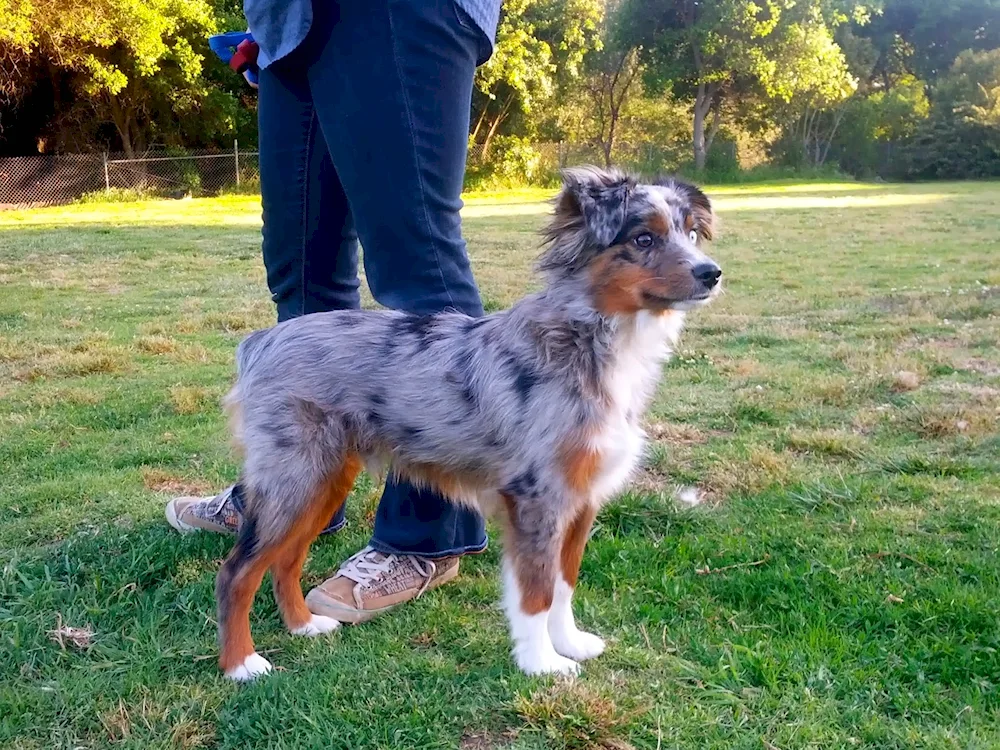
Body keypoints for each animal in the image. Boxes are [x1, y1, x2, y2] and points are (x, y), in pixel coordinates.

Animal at [215, 164, 724, 680]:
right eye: (643, 239)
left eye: (690, 233)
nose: (712, 273)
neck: (591, 337)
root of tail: (264, 340)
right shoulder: (536, 500)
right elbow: (537, 593)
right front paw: (540, 663)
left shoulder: (580, 500)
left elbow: (564, 585)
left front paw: (570, 643)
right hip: (295, 479)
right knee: (237, 571)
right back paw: (241, 664)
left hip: (325, 480)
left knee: (285, 560)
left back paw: (303, 625)